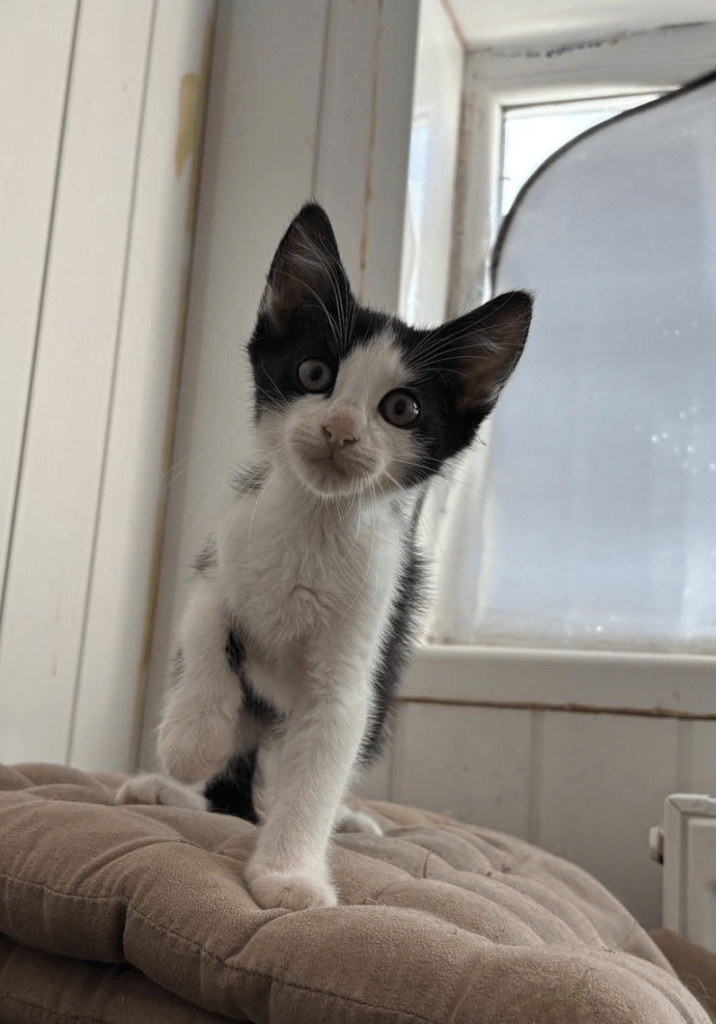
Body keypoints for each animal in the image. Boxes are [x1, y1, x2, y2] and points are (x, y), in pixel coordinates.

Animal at [118, 201, 532, 913]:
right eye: (314, 373)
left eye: (402, 408)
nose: (339, 428)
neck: (314, 524)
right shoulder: (223, 553)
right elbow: (204, 626)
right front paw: (190, 739)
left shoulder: (360, 651)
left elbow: (321, 760)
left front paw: (290, 874)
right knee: (235, 773)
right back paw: (172, 787)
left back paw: (347, 818)